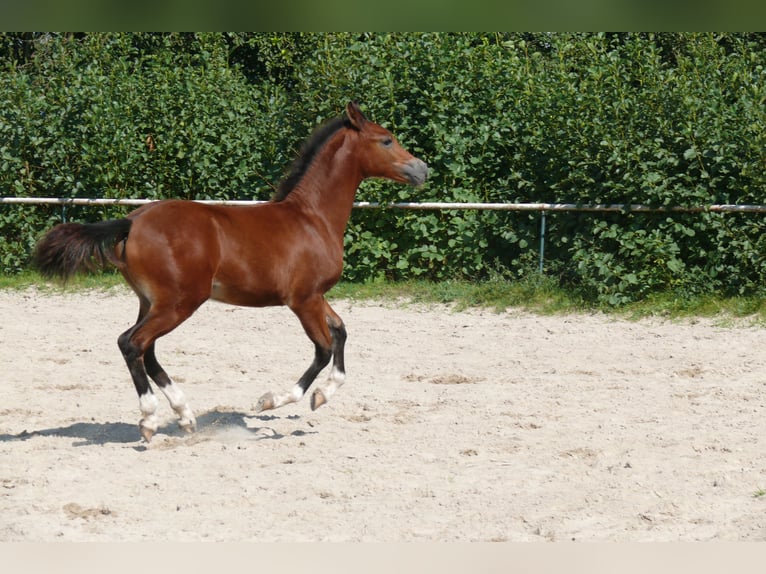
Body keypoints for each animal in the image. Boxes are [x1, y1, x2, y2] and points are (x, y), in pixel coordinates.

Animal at [33, 103, 428, 444]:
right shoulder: (303, 299)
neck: (312, 218)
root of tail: (132, 221)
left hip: (152, 301)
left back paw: (185, 416)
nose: (422, 169)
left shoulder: (316, 297)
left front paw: (322, 395)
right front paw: (277, 400)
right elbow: (324, 348)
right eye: (386, 139)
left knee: (147, 349)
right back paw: (149, 419)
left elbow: (341, 332)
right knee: (132, 343)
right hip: (179, 303)